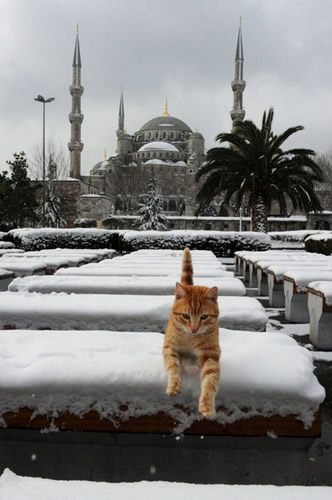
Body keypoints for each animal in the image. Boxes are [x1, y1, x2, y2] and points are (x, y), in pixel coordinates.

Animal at [163, 247, 220, 418]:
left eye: (204, 317)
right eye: (186, 316)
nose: (194, 329)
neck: (190, 339)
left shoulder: (211, 354)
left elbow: (210, 379)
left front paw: (207, 405)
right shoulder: (169, 347)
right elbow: (173, 366)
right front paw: (174, 385)